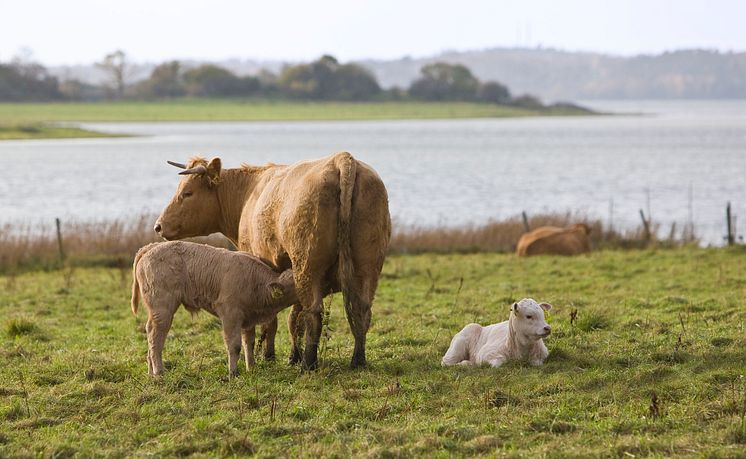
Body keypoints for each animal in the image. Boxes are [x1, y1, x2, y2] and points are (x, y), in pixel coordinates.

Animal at [131, 241, 296, 378]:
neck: (256, 282)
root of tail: (151, 246)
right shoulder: (230, 315)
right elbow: (234, 345)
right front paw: (233, 373)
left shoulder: (248, 319)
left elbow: (249, 343)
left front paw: (251, 368)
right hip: (162, 309)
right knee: (155, 336)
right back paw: (159, 372)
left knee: (150, 334)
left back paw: (151, 374)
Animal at [155, 153, 392, 372]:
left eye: (187, 193)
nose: (158, 226)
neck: (248, 195)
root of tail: (341, 158)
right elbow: (293, 318)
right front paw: (292, 356)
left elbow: (272, 319)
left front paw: (268, 356)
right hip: (365, 267)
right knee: (361, 311)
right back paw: (357, 360)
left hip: (308, 267)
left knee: (314, 314)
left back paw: (308, 364)